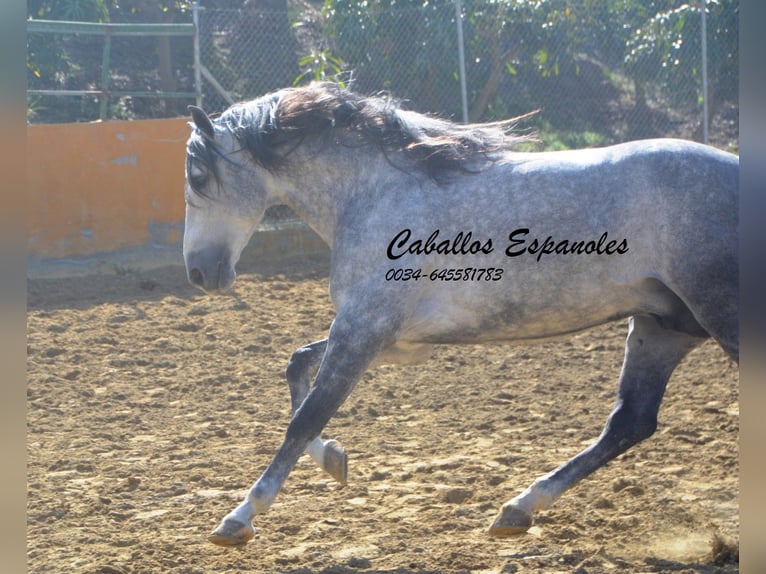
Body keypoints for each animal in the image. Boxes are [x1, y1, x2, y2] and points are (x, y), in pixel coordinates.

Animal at [180, 82, 736, 548]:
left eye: (198, 175)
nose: (199, 273)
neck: (376, 194)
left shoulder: (362, 330)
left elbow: (306, 416)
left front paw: (238, 518)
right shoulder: (392, 340)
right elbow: (297, 366)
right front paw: (336, 460)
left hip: (721, 318)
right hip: (662, 327)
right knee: (630, 422)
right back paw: (516, 510)